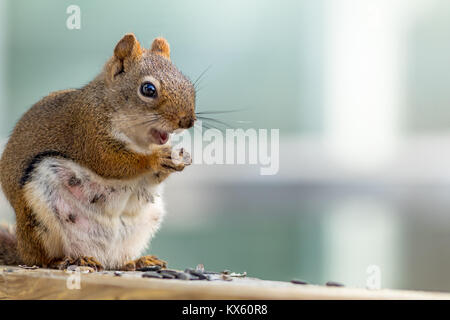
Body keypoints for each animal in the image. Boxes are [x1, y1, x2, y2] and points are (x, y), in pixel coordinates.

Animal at [0, 33, 195, 270]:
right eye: (148, 89)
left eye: (188, 82)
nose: (188, 121)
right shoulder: (88, 131)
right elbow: (110, 162)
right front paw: (155, 159)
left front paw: (176, 160)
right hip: (39, 217)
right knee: (40, 258)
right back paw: (67, 259)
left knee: (117, 260)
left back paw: (136, 261)